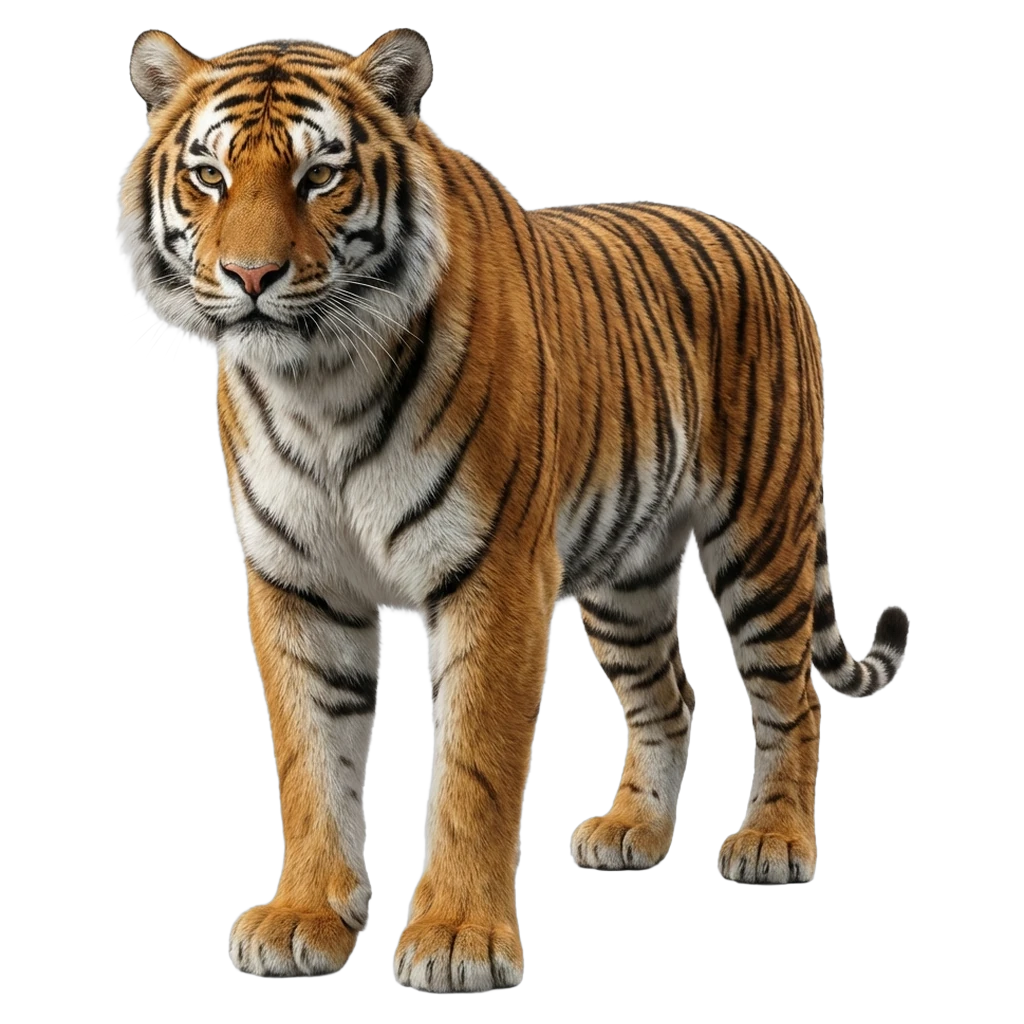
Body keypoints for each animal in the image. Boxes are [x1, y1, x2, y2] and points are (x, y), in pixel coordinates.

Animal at [118, 28, 911, 992]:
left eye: (319, 175)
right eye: (209, 175)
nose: (251, 274)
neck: (319, 383)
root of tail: (755, 242)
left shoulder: (494, 573)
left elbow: (475, 769)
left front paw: (458, 937)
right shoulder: (297, 583)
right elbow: (311, 759)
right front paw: (305, 917)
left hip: (764, 540)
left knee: (791, 696)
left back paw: (773, 841)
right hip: (624, 578)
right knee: (669, 695)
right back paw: (634, 832)